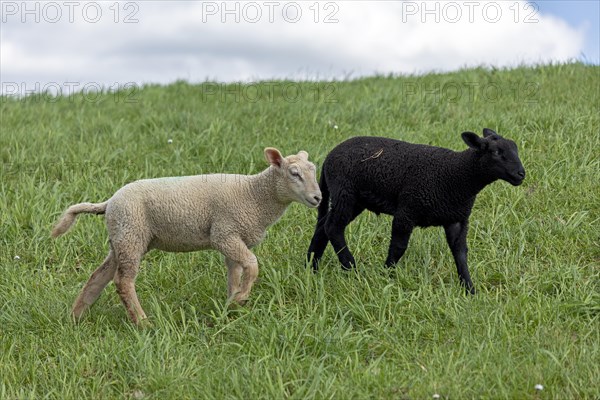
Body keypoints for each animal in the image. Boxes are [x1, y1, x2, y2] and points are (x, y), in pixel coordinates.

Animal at [52, 148, 324, 324]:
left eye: (313, 170)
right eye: (294, 173)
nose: (318, 198)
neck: (254, 194)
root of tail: (109, 201)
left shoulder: (233, 238)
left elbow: (235, 273)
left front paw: (231, 305)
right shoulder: (224, 234)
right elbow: (253, 264)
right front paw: (242, 298)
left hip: (122, 237)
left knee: (99, 276)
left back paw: (75, 318)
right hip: (132, 234)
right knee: (123, 281)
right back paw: (142, 322)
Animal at [308, 128, 528, 294]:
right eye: (496, 152)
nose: (521, 174)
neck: (456, 176)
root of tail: (328, 158)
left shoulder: (457, 219)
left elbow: (461, 253)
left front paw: (469, 289)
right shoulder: (407, 211)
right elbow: (398, 247)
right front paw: (387, 275)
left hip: (354, 199)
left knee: (323, 226)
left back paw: (311, 266)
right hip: (345, 192)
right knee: (333, 227)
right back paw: (350, 266)